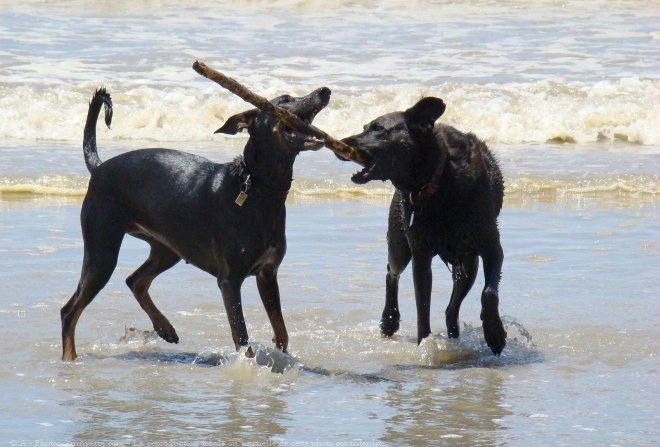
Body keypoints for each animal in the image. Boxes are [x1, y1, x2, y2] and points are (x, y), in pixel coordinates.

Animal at [61, 86, 330, 360]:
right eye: (285, 100)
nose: (325, 91)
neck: (257, 187)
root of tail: (99, 168)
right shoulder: (229, 280)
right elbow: (242, 338)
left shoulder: (267, 273)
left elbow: (281, 330)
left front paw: (282, 355)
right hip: (102, 250)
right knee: (70, 310)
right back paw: (70, 359)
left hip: (168, 247)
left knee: (135, 280)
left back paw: (165, 328)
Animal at [342, 99, 508, 356]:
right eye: (365, 127)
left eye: (378, 128)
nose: (343, 141)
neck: (436, 181)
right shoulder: (420, 255)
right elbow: (422, 308)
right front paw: (425, 344)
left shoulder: (491, 247)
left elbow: (489, 293)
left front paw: (495, 333)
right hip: (400, 243)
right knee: (391, 272)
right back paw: (389, 320)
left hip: (469, 263)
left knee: (452, 308)